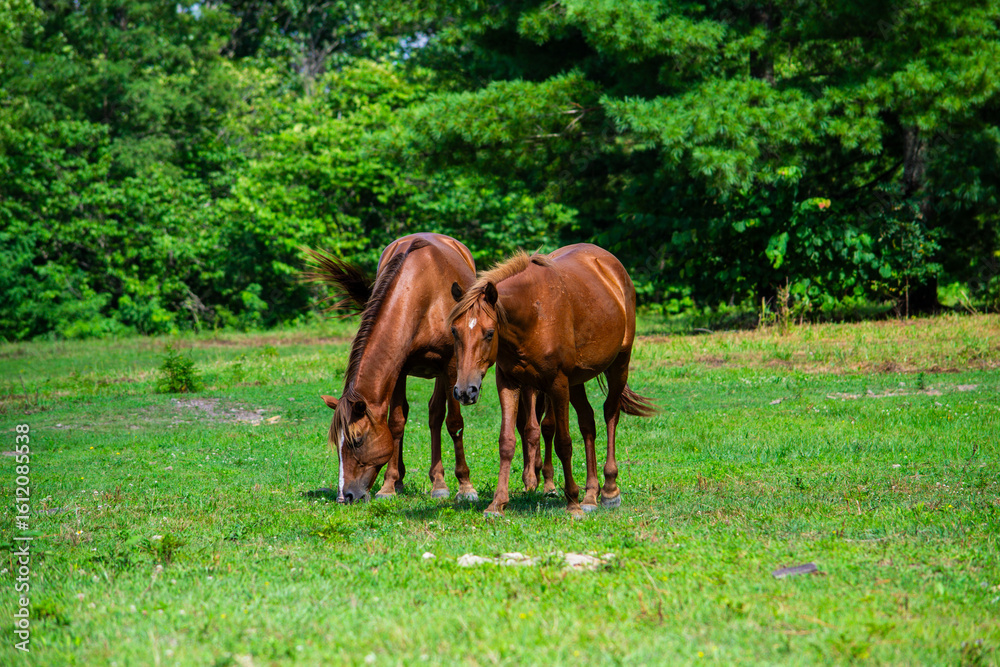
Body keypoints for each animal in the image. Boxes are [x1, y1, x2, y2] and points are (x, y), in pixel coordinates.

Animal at [306, 233, 479, 503]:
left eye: (357, 440)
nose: (345, 496)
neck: (421, 293)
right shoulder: (399, 367)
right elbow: (396, 422)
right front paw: (389, 485)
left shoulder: (452, 365)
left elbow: (454, 423)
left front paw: (465, 486)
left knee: (436, 415)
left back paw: (439, 482)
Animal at [448, 243, 655, 516]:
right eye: (454, 331)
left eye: (489, 333)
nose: (465, 391)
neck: (534, 314)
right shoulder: (509, 383)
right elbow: (507, 441)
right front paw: (497, 503)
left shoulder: (557, 384)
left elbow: (563, 443)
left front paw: (572, 503)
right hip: (576, 382)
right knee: (588, 423)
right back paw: (591, 495)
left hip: (619, 364)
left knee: (610, 413)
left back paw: (610, 490)